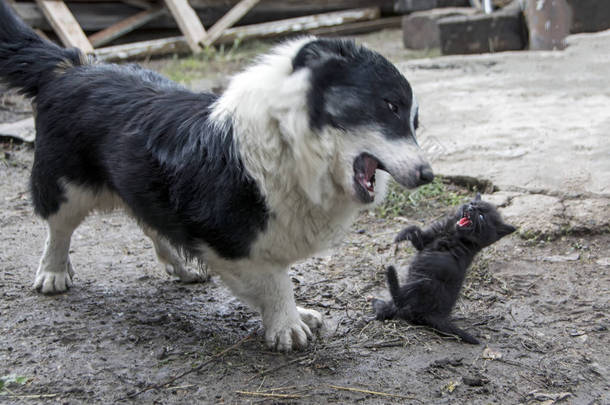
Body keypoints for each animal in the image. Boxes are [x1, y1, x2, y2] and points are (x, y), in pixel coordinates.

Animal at [2, 0, 432, 350]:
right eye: (389, 105)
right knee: (59, 228)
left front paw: (294, 313)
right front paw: (287, 323)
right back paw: (54, 272)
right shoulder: (232, 238)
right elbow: (275, 279)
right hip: (66, 186)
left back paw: (180, 265)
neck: (291, 138)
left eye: (415, 122)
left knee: (151, 223)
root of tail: (72, 66)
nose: (428, 174)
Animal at [370, 194, 512, 342]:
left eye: (481, 217)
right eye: (473, 203)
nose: (471, 207)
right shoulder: (425, 241)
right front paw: (402, 235)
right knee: (392, 308)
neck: (453, 234)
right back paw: (378, 304)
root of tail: (437, 317)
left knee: (401, 298)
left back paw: (389, 278)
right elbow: (415, 229)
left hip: (425, 286)